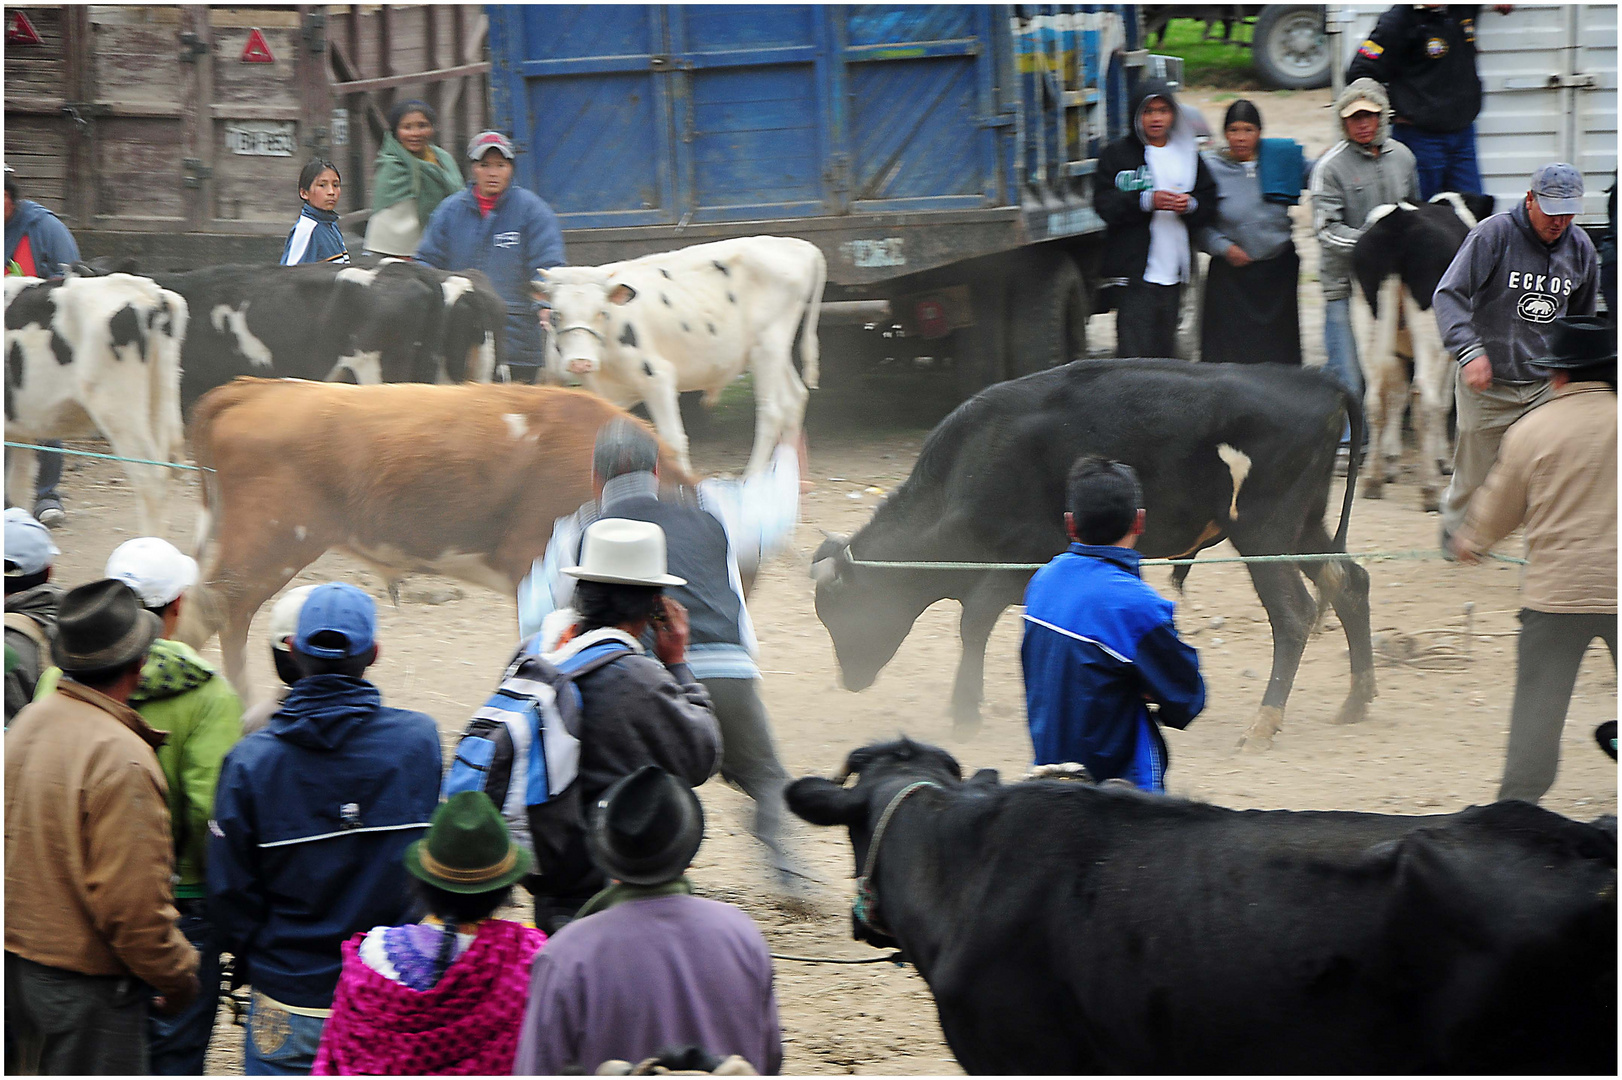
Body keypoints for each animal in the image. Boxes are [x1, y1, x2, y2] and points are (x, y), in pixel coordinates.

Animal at [3, 274, 188, 535]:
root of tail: (151, 295)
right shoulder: (19, 434)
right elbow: (17, 491)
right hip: (160, 405)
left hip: (118, 411)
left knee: (151, 480)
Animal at [811, 356, 1368, 745]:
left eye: (843, 609)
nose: (848, 680)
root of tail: (1319, 381)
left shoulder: (1021, 562)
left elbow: (974, 622)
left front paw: (965, 712)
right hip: (1305, 529)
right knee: (1350, 582)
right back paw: (1356, 703)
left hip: (1264, 534)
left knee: (1294, 615)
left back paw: (1263, 724)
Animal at [1349, 190, 1485, 509]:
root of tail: (1399, 222)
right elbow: (1445, 401)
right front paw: (1443, 460)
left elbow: (1396, 396)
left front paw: (1390, 461)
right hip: (1430, 326)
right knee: (1425, 397)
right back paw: (1430, 490)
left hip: (1367, 317)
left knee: (1374, 399)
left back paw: (1372, 481)